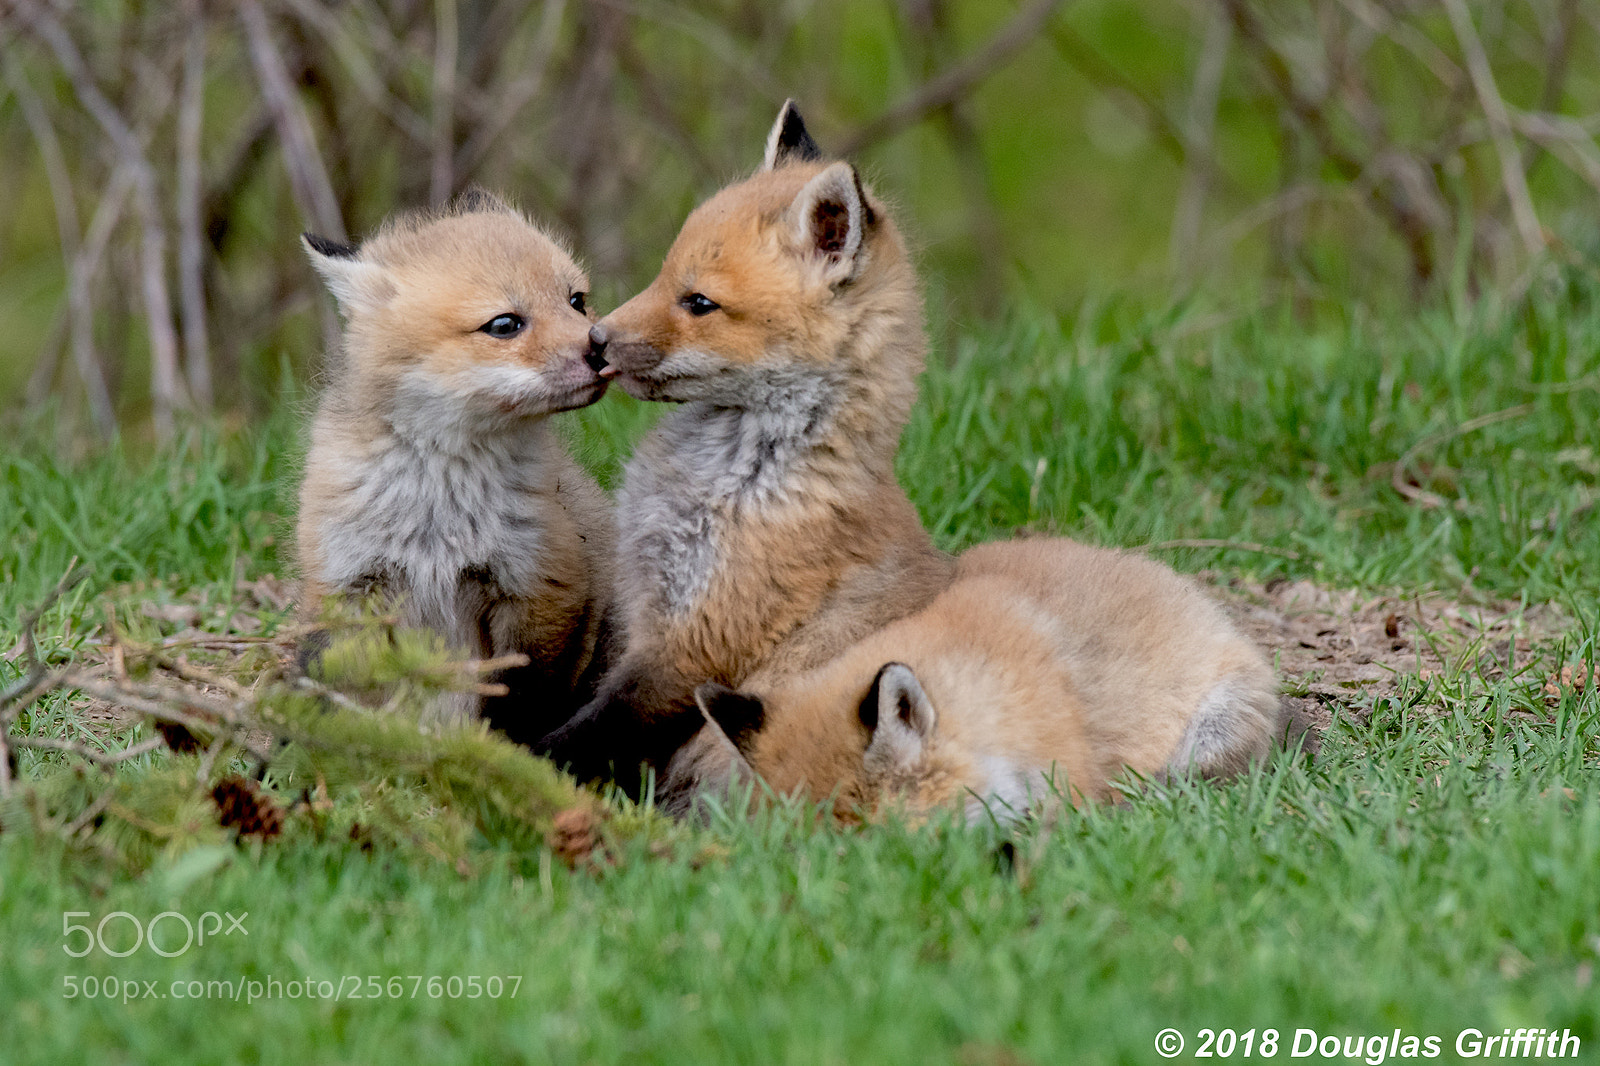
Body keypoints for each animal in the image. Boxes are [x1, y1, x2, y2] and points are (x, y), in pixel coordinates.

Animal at [295, 189, 614, 743]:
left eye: (575, 300)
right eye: (504, 324)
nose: (602, 347)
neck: (438, 509)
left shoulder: (541, 589)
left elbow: (518, 706)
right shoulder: (347, 585)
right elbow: (330, 688)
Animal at [536, 102, 954, 786]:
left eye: (700, 302)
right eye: (664, 276)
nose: (595, 340)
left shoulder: (697, 644)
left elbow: (586, 732)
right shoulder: (635, 602)